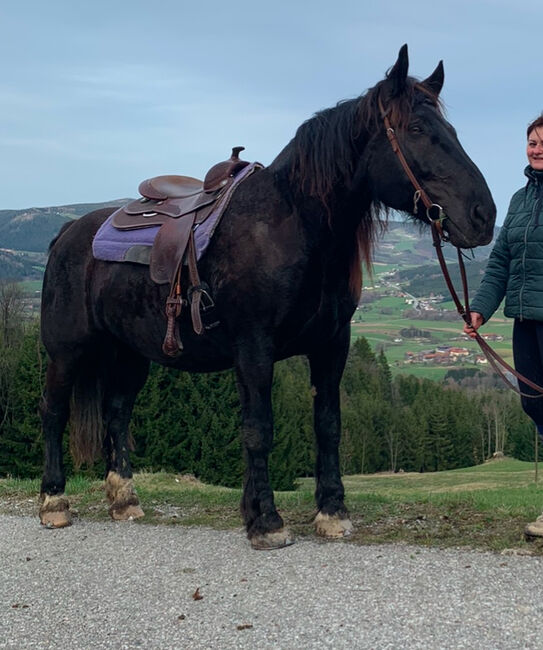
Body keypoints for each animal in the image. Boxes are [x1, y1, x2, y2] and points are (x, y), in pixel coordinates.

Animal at [39, 46, 498, 548]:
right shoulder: (254, 348)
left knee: (117, 414)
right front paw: (266, 521)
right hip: (67, 351)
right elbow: (259, 428)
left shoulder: (332, 345)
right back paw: (54, 502)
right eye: (416, 129)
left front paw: (331, 512)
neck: (294, 225)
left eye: (451, 131)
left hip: (130, 354)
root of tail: (68, 231)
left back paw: (124, 500)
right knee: (54, 411)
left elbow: (328, 425)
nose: (483, 215)